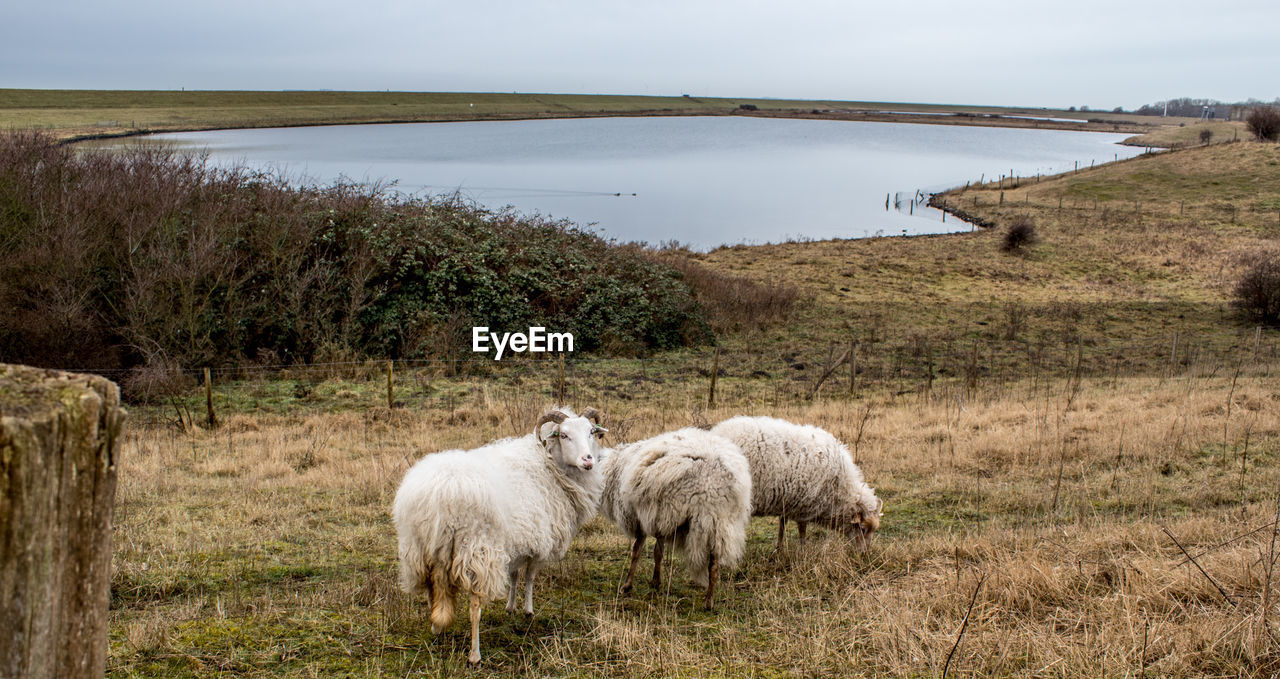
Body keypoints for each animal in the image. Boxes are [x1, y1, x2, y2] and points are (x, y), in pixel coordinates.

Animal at [391, 407, 606, 661]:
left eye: (591, 432)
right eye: (564, 435)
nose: (588, 460)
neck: (547, 463)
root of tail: (439, 494)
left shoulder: (519, 541)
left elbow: (513, 575)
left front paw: (510, 607)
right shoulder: (540, 541)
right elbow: (529, 577)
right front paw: (528, 611)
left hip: (420, 551)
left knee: (430, 592)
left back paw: (436, 630)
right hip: (477, 551)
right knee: (475, 606)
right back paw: (475, 654)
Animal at [596, 422, 747, 607]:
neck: (614, 467)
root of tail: (721, 476)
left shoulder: (641, 516)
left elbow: (637, 550)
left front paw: (627, 585)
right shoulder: (661, 516)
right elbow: (658, 551)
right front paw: (655, 582)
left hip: (704, 518)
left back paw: (708, 601)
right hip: (720, 521)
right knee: (714, 564)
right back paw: (709, 600)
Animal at [711, 412, 880, 548]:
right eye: (862, 529)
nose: (864, 554)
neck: (840, 488)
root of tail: (715, 432)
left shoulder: (787, 500)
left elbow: (782, 524)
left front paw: (779, 548)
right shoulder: (805, 504)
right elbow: (802, 529)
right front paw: (803, 550)